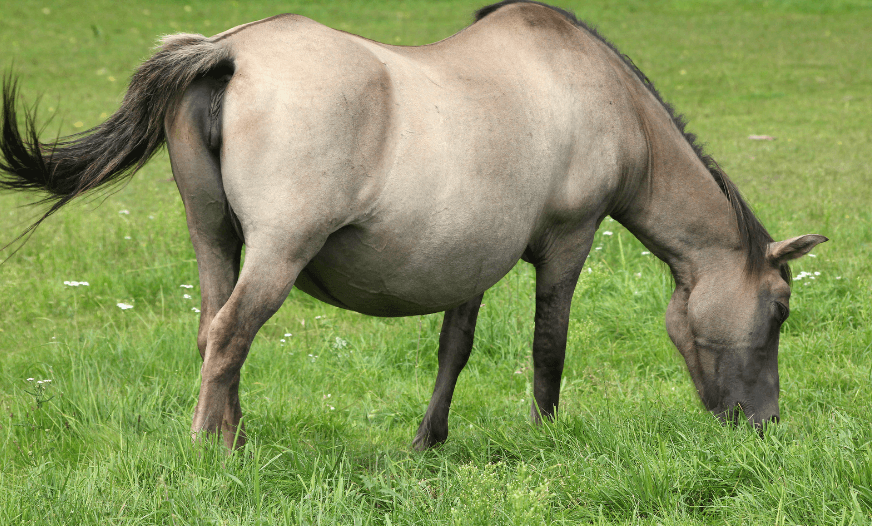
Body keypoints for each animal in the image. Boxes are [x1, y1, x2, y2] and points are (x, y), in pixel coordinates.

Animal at [0, 0, 826, 450]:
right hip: (277, 252)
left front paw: (429, 439)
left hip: (214, 238)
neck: (602, 98)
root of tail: (226, 52)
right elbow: (549, 346)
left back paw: (234, 436)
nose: (766, 423)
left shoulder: (471, 258)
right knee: (233, 333)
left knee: (212, 333)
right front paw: (547, 434)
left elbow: (453, 350)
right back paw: (212, 447)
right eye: (780, 308)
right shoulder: (570, 239)